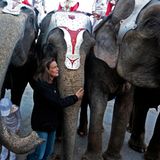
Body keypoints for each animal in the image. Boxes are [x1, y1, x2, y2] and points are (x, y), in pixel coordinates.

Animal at [79, 0, 160, 160]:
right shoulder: (96, 62)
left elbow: (124, 105)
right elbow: (98, 99)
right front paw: (93, 158)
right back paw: (82, 132)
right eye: (151, 24)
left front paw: (112, 158)